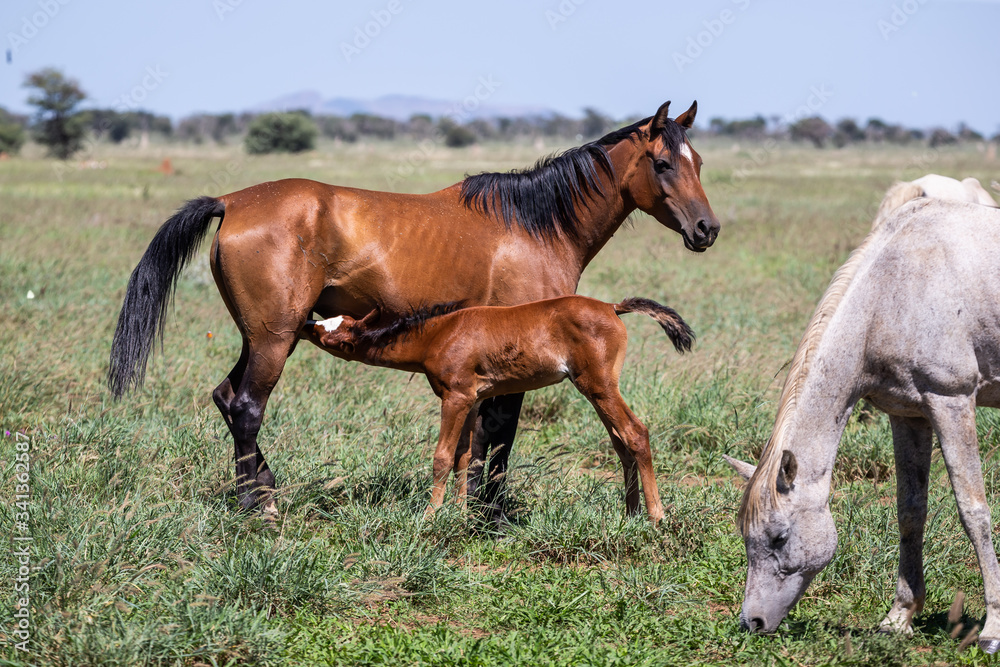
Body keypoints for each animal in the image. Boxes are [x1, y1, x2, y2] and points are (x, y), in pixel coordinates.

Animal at [304, 296, 692, 520]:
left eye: (330, 335)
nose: (307, 322)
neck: (440, 332)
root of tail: (611, 307)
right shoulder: (472, 400)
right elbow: (464, 457)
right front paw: (459, 514)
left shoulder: (455, 398)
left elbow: (442, 457)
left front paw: (428, 518)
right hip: (598, 392)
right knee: (620, 442)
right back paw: (630, 514)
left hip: (599, 388)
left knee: (636, 433)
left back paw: (655, 517)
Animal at [724, 196, 1000, 656]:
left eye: (778, 538)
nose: (752, 622)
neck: (894, 291)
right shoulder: (908, 414)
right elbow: (911, 512)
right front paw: (899, 617)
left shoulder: (952, 402)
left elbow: (973, 511)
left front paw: (994, 628)